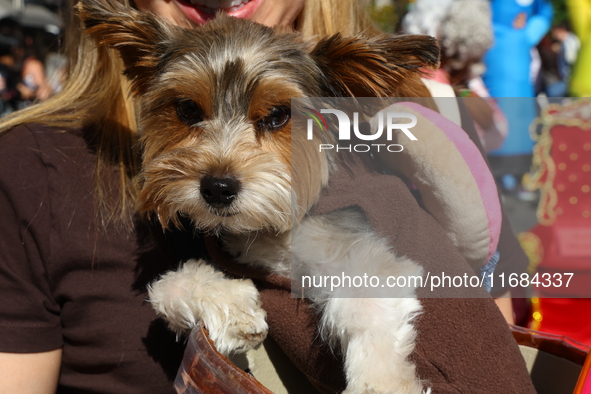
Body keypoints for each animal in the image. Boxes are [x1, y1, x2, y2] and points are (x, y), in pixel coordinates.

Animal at [77, 1, 440, 392]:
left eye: (278, 115)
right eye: (188, 109)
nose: (217, 188)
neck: (270, 231)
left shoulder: (365, 254)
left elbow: (366, 307)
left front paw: (383, 382)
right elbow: (166, 286)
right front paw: (235, 307)